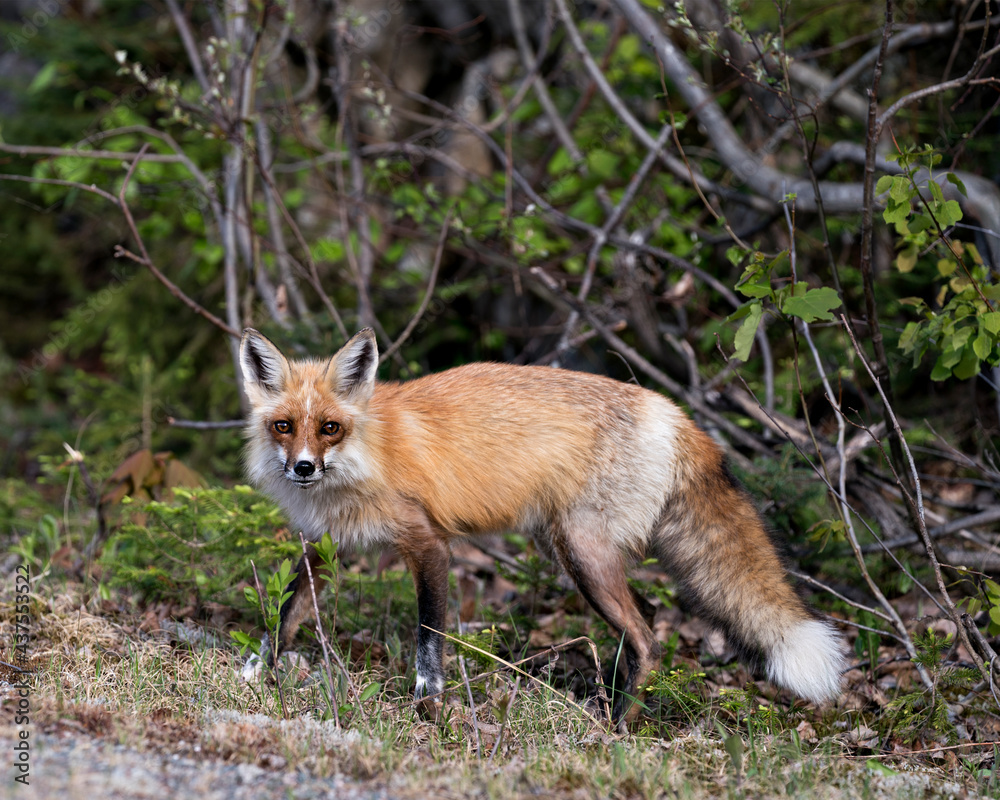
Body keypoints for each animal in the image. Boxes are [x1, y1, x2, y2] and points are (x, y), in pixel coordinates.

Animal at [240, 328, 844, 716]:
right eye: (284, 425)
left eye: (331, 428)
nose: (302, 468)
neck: (367, 454)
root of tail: (675, 413)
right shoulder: (325, 544)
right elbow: (285, 613)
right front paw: (257, 672)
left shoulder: (429, 543)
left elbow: (428, 639)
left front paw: (428, 705)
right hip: (575, 550)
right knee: (647, 619)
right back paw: (608, 698)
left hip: (580, 550)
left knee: (649, 638)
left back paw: (617, 727)